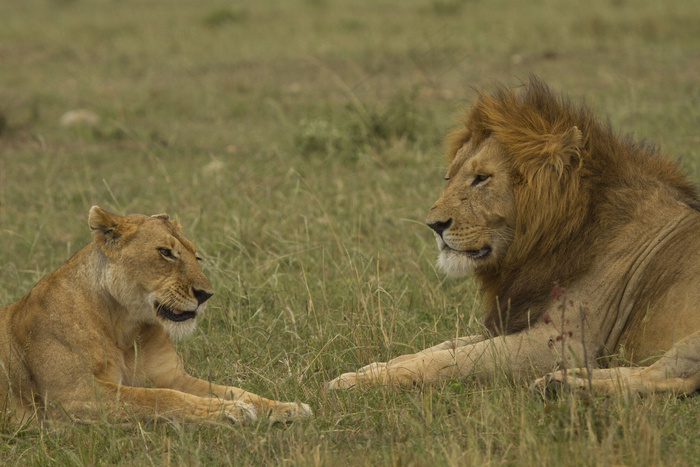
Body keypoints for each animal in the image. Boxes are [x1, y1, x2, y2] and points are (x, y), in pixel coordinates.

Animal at [0, 207, 312, 426]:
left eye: (196, 256)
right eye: (165, 252)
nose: (206, 294)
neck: (125, 329)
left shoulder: (172, 376)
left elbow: (234, 390)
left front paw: (285, 407)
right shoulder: (71, 395)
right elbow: (159, 398)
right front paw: (231, 411)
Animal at [330, 76, 700, 394]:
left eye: (481, 177)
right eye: (449, 177)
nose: (433, 224)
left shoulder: (561, 343)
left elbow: (453, 360)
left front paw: (359, 382)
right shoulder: (514, 317)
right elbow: (441, 347)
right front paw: (367, 369)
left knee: (673, 378)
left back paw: (565, 385)